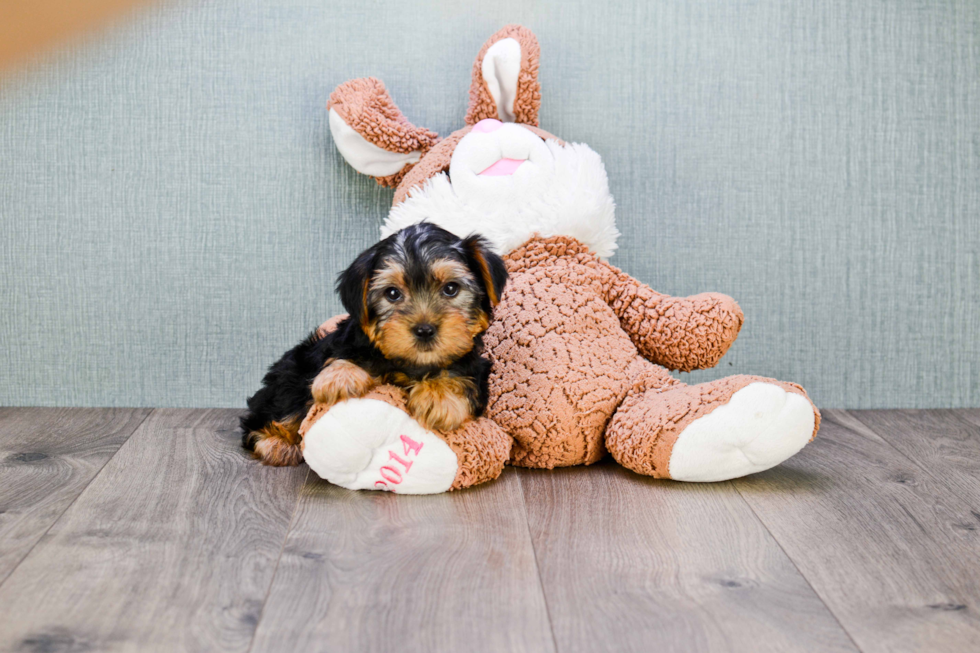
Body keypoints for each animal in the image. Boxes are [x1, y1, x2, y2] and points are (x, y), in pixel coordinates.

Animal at [241, 222, 510, 466]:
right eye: (392, 293)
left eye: (451, 288)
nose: (424, 330)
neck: (412, 364)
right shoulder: (343, 343)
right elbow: (345, 354)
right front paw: (340, 377)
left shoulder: (475, 366)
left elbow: (460, 374)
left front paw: (439, 396)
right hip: (292, 372)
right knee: (272, 414)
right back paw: (276, 443)